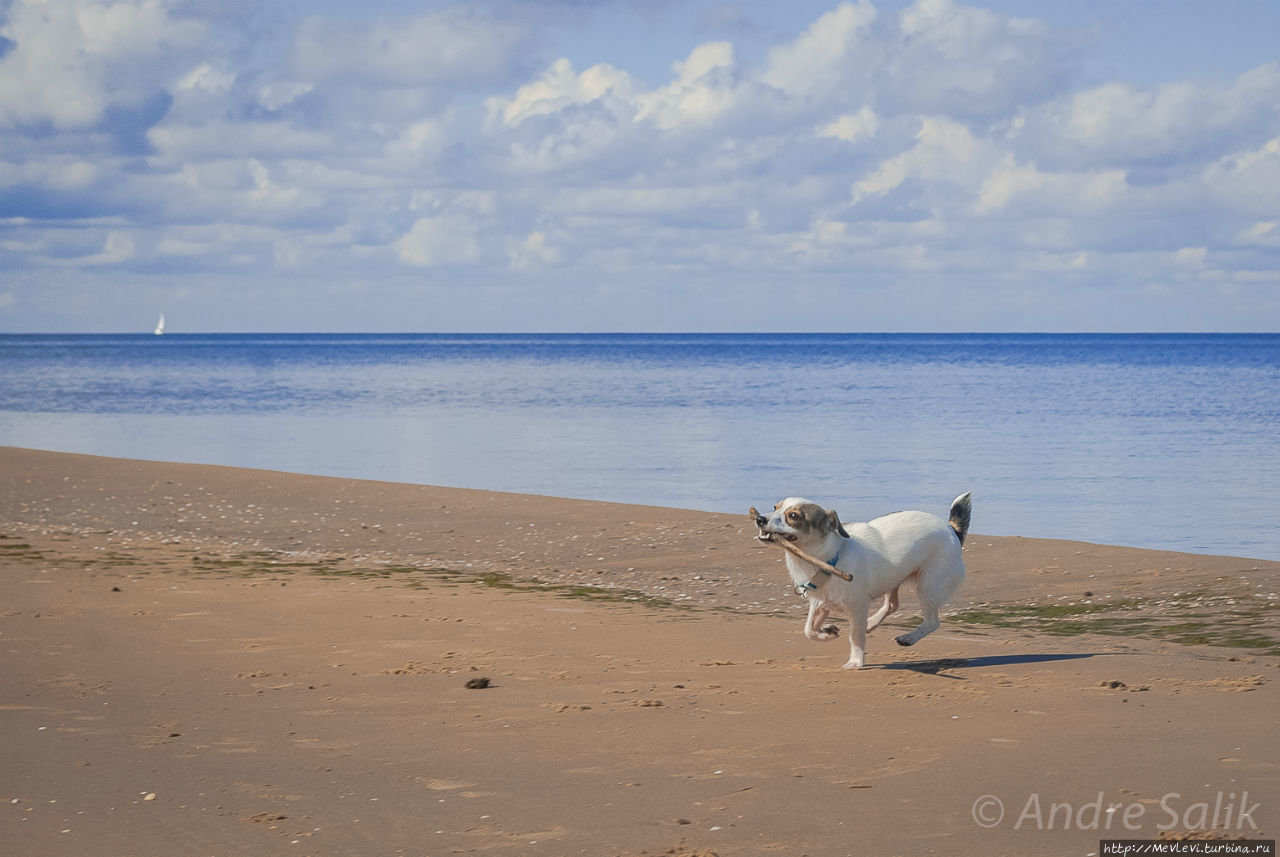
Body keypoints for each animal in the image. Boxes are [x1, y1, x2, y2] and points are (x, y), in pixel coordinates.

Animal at [747, 496, 967, 670]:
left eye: (793, 516)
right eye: (775, 507)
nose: (760, 519)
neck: (830, 556)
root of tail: (951, 529)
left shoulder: (857, 607)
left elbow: (855, 636)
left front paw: (856, 661)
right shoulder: (820, 603)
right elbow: (809, 630)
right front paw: (828, 632)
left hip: (929, 586)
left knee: (932, 622)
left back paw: (908, 638)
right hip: (893, 578)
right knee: (892, 604)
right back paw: (871, 623)